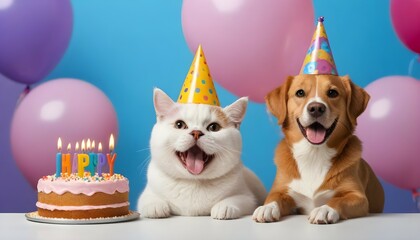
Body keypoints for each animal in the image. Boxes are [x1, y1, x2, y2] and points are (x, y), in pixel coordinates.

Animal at [139, 88, 268, 219]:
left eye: (214, 127)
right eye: (179, 124)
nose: (196, 132)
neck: (194, 182)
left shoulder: (248, 197)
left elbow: (237, 199)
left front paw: (224, 207)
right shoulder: (147, 193)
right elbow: (147, 199)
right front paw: (155, 206)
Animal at [253, 74, 384, 223]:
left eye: (332, 93)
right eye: (300, 93)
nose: (316, 108)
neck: (313, 154)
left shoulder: (357, 196)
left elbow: (338, 200)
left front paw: (324, 209)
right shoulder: (282, 190)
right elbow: (274, 196)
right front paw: (267, 207)